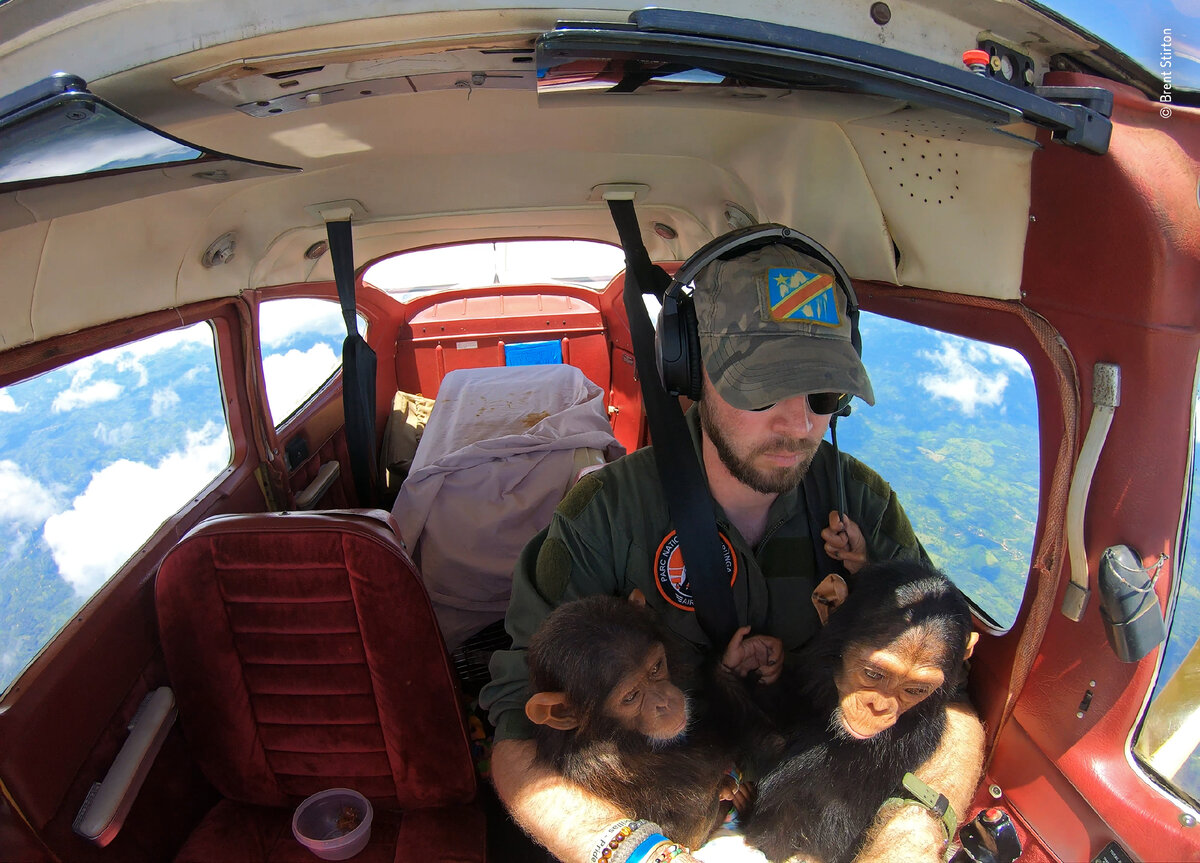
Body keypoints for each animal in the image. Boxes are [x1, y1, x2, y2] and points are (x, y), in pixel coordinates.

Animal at [525, 595, 777, 849]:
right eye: (630, 697)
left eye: (655, 668)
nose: (664, 702)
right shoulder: (607, 764)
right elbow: (690, 829)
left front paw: (740, 655)